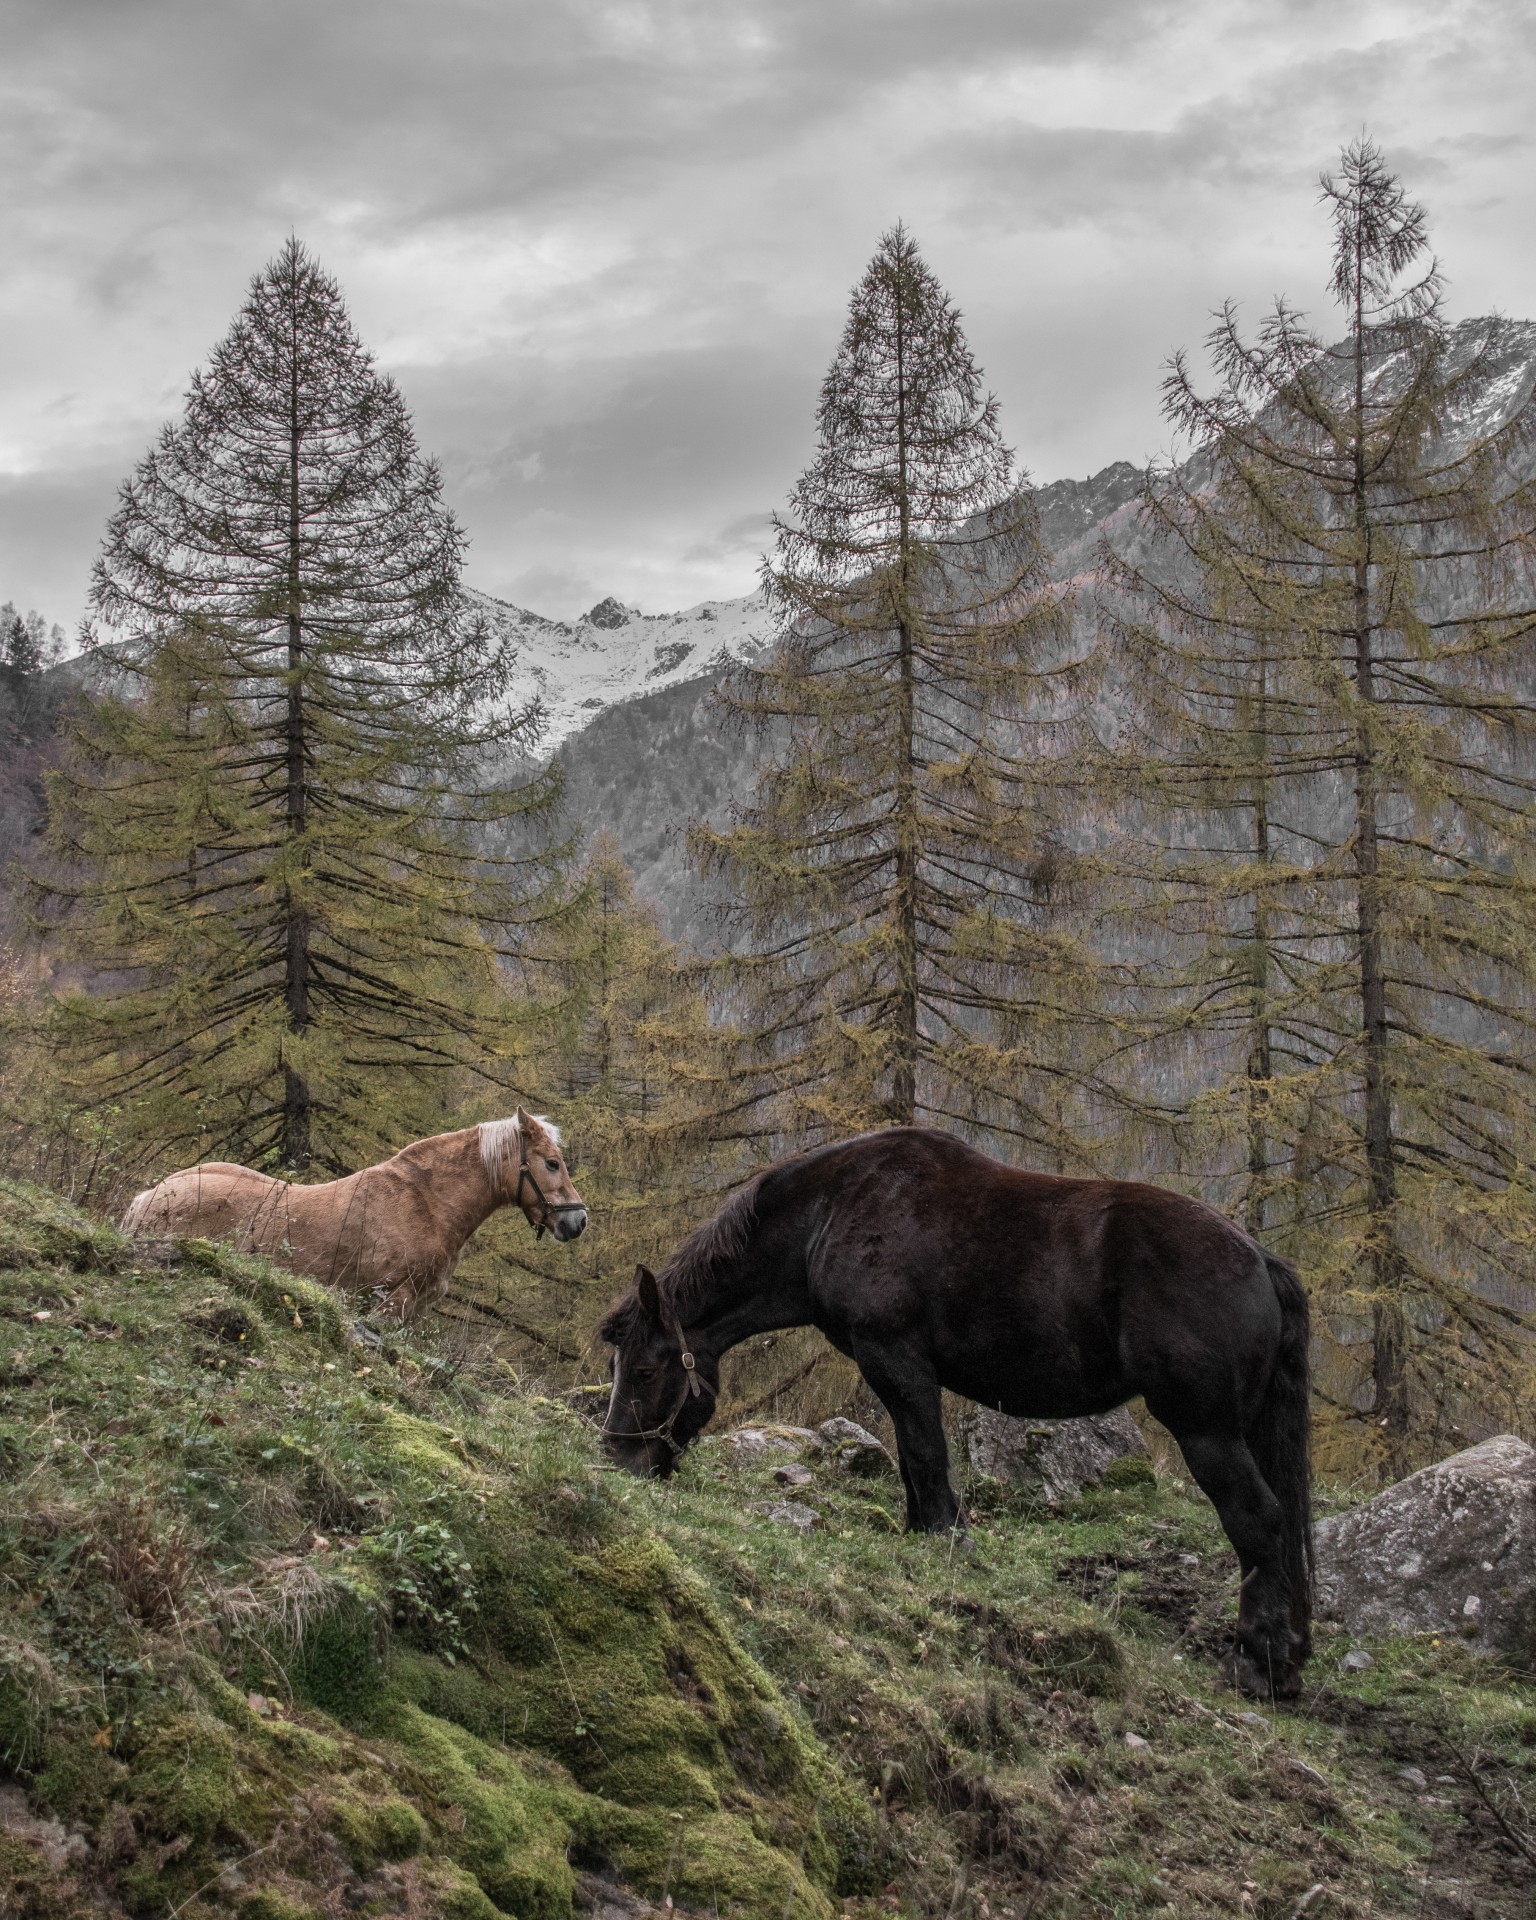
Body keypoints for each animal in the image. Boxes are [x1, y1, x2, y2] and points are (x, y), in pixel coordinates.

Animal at [599, 1125, 1312, 1699]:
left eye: (643, 1371)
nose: (615, 1458)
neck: (831, 1211)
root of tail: (1259, 1259)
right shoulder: (889, 1367)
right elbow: (912, 1457)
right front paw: (922, 1535)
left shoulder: (895, 1358)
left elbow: (924, 1452)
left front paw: (947, 1539)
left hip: (1206, 1431)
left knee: (1259, 1519)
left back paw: (1256, 1665)